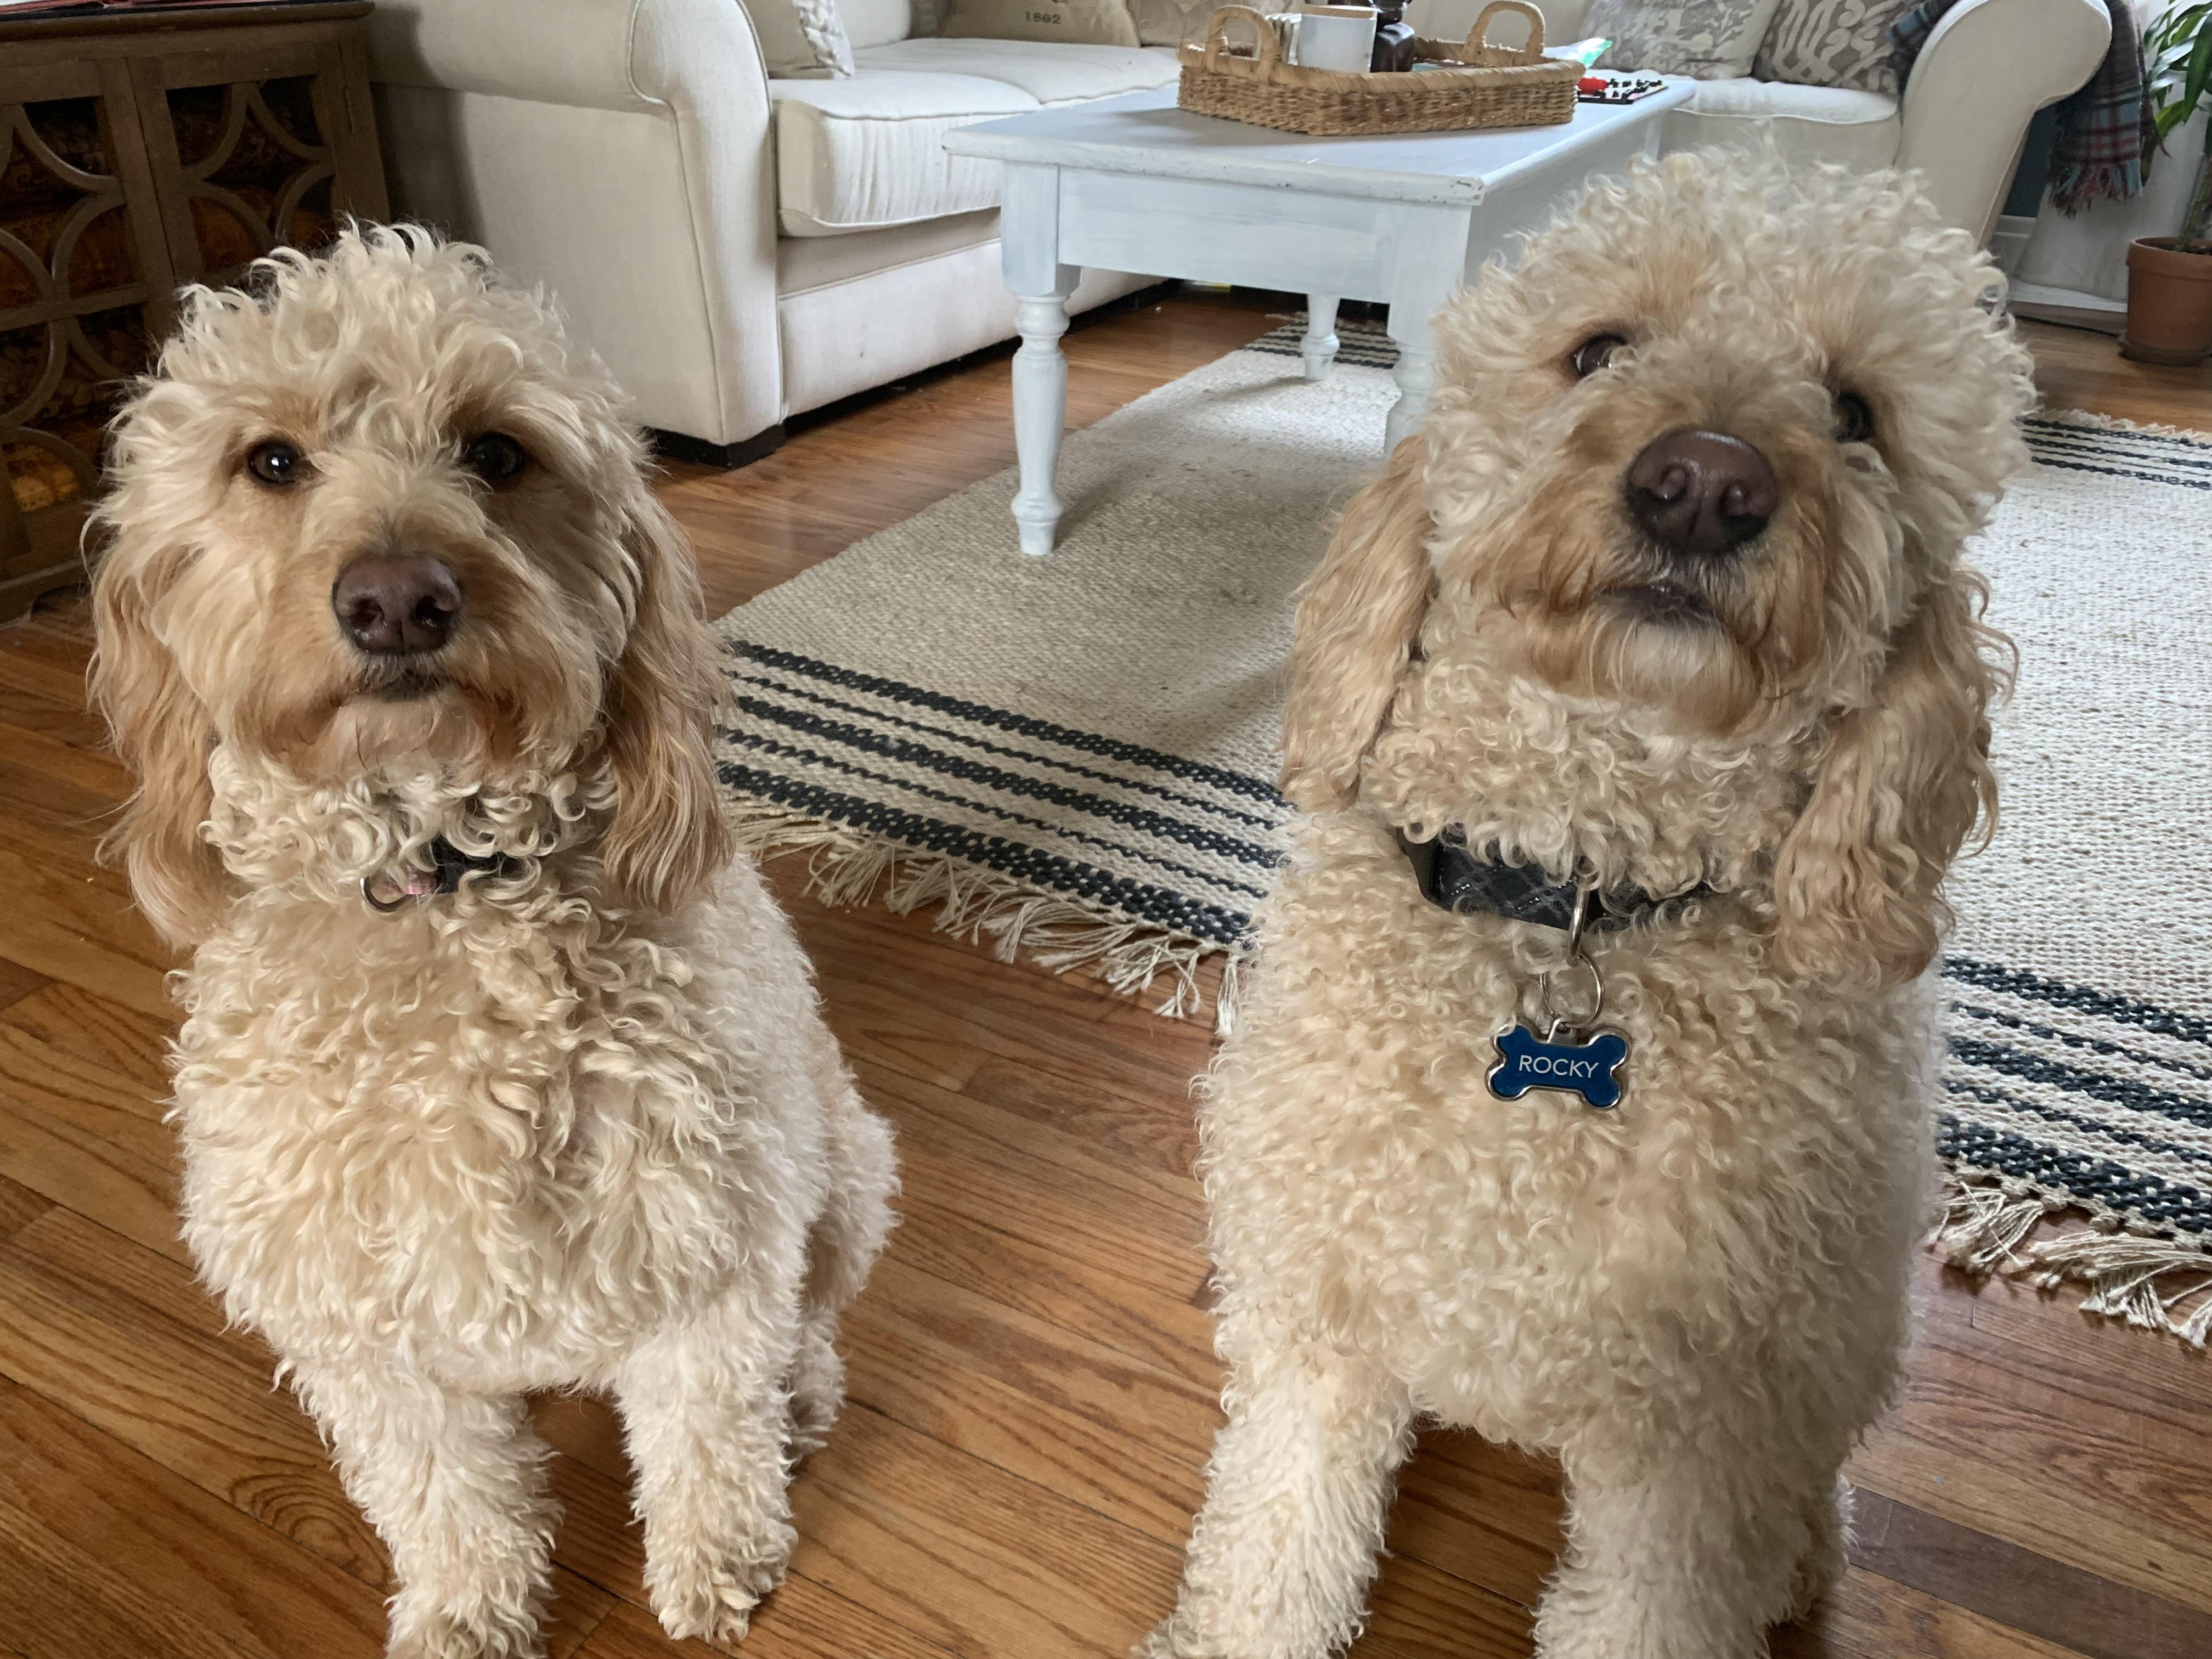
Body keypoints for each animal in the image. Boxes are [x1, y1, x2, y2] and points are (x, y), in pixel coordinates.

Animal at [89, 228, 897, 1658]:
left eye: (497, 452)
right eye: (272, 462)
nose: (399, 599)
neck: (445, 883)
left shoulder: (705, 1238)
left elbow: (707, 1431)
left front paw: (715, 1563)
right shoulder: (355, 1318)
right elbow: (442, 1488)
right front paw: (470, 1606)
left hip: (845, 1171)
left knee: (806, 1327)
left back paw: (803, 1396)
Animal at [1146, 155, 2034, 1659]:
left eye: (1857, 411)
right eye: (1599, 349)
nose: (1705, 485)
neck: (1577, 893)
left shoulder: (1695, 1456)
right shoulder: (1325, 1319)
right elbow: (1276, 1546)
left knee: (1814, 1486)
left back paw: (1808, 1561)